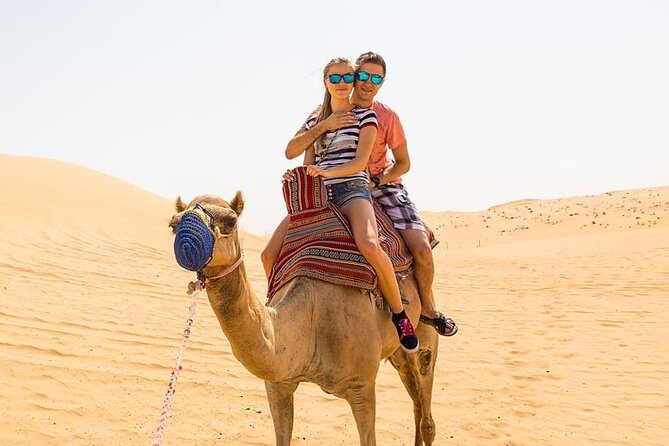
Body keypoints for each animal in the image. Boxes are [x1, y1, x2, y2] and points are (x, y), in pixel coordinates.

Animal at [169, 192, 441, 446]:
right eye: (173, 225)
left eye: (231, 221)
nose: (187, 239)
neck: (313, 320)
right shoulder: (278, 383)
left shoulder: (362, 385)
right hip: (397, 353)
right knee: (416, 402)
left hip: (421, 330)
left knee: (426, 404)